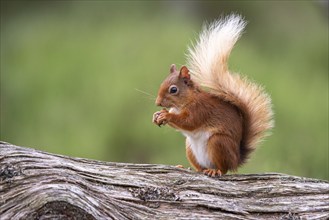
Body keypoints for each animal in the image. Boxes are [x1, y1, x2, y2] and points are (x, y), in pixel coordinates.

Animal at [152, 14, 272, 177]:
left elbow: (188, 122)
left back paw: (215, 170)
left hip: (218, 142)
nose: (158, 103)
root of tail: (236, 159)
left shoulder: (201, 109)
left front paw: (166, 115)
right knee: (200, 168)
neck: (185, 102)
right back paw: (187, 167)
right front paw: (157, 115)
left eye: (173, 90)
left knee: (224, 168)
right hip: (189, 147)